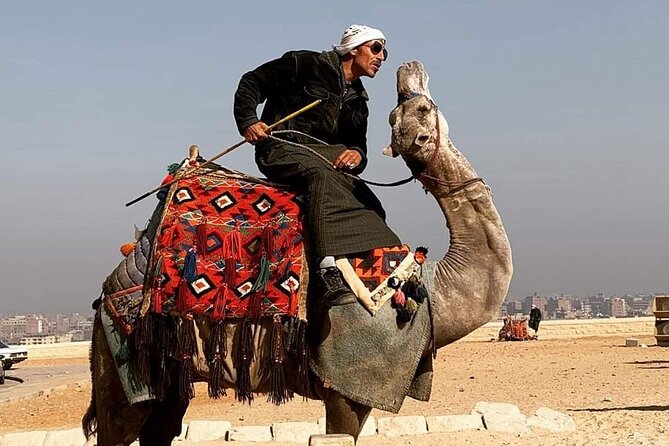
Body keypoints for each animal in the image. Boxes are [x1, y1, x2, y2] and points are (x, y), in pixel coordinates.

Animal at [82, 60, 512, 445]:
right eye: (414, 109)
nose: (407, 67)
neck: (428, 289)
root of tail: (113, 280)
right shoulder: (348, 377)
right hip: (123, 356)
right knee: (118, 426)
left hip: (168, 368)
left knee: (160, 429)